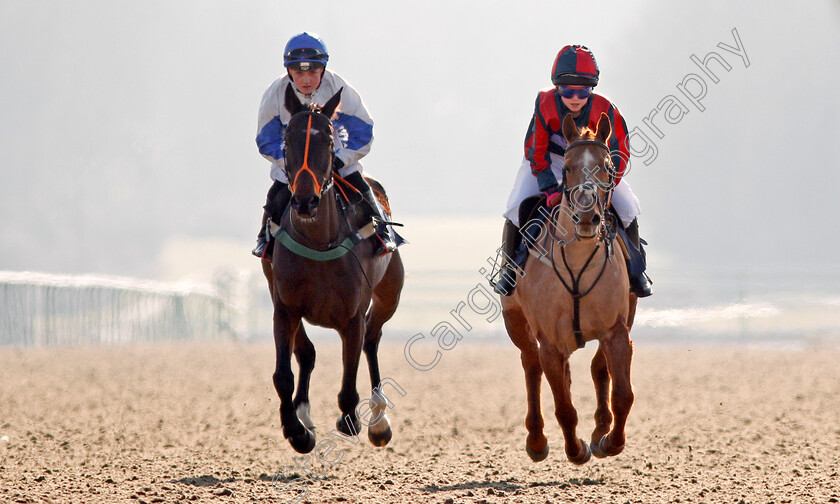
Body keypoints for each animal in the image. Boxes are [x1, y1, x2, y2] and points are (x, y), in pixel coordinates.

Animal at [262, 84, 406, 454]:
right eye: (287, 140)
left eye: (328, 141)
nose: (305, 200)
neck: (318, 244)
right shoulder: (284, 307)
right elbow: (284, 373)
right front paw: (297, 431)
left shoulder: (352, 314)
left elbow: (350, 373)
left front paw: (352, 418)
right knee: (307, 353)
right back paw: (305, 414)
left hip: (390, 294)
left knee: (372, 338)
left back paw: (379, 420)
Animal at [498, 111, 636, 464]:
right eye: (567, 168)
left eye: (607, 166)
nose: (587, 218)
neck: (577, 261)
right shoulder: (548, 342)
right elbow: (563, 407)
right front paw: (576, 451)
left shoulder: (616, 330)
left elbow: (622, 394)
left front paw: (609, 441)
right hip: (516, 322)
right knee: (531, 366)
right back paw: (536, 440)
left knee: (597, 369)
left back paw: (600, 431)